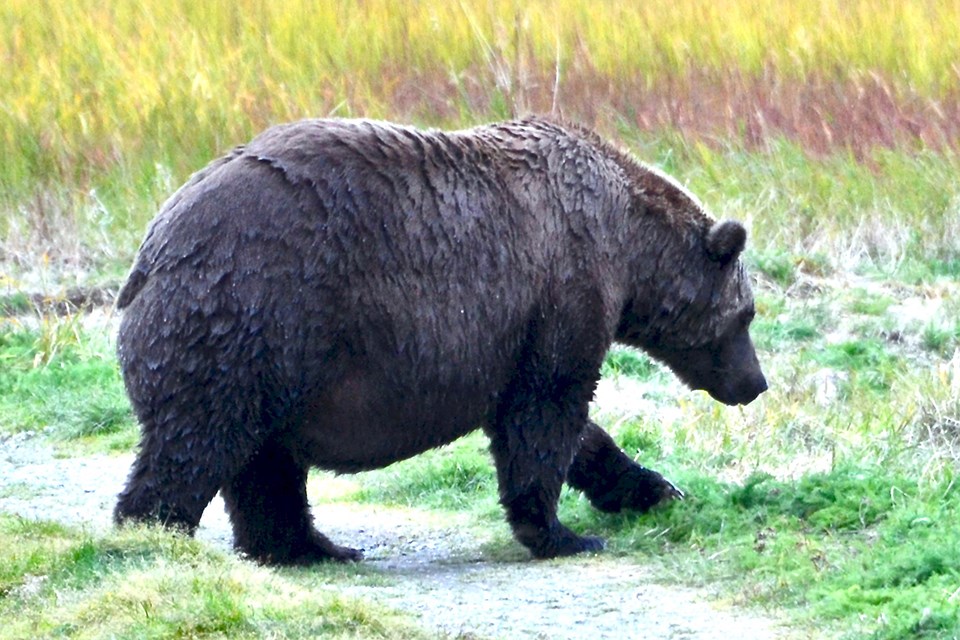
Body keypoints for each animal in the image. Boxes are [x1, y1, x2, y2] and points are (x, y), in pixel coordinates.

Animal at [114, 116, 764, 564]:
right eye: (748, 314)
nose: (756, 383)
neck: (629, 247)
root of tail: (152, 249)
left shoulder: (511, 340)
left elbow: (566, 427)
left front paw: (652, 488)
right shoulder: (563, 292)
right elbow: (547, 414)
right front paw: (565, 534)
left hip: (272, 361)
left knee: (263, 463)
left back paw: (314, 548)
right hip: (251, 315)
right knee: (197, 442)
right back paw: (153, 539)